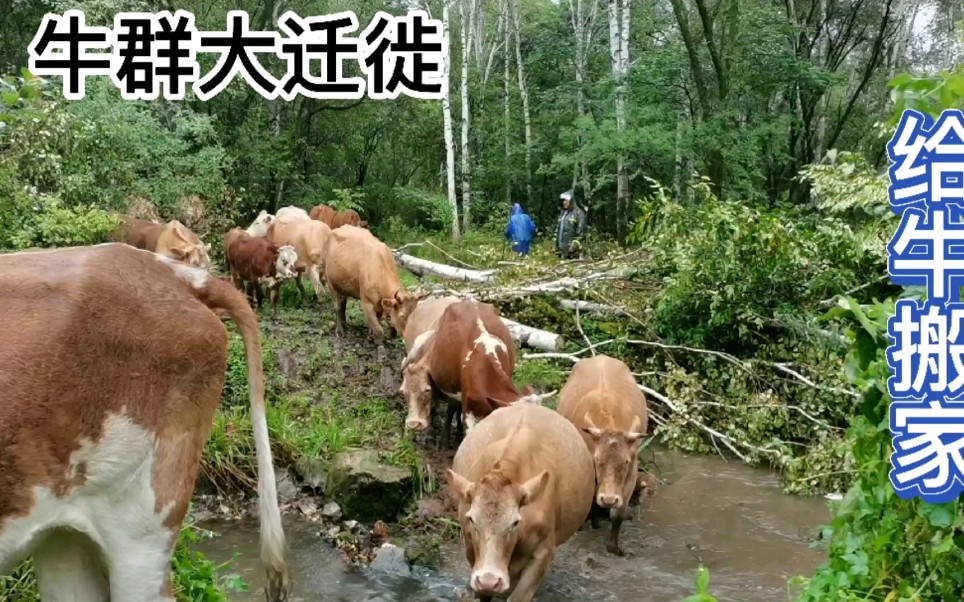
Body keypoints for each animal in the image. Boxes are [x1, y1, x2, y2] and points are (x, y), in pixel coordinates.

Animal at [322, 224, 416, 356]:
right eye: (402, 315)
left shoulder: (379, 304)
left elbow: (376, 323)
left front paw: (370, 337)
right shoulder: (366, 303)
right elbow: (379, 330)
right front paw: (381, 351)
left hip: (342, 284)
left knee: (343, 302)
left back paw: (345, 323)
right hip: (330, 282)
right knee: (337, 306)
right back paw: (340, 330)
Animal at [552, 354, 652, 556]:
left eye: (626, 461)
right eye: (597, 459)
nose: (608, 499)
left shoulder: (632, 474)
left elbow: (618, 514)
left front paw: (614, 546)